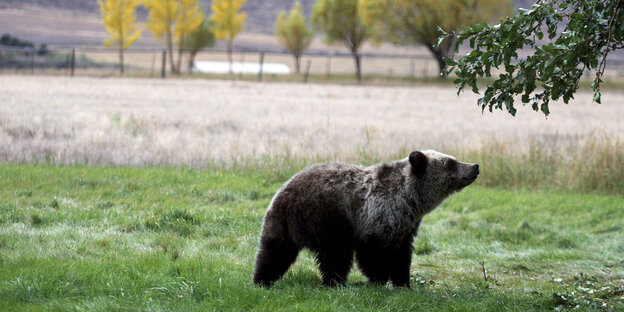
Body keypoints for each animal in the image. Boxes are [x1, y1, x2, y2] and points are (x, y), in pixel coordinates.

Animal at [251, 151, 480, 288]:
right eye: (451, 162)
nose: (475, 166)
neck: (410, 200)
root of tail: (284, 192)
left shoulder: (406, 227)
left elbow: (402, 255)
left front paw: (403, 283)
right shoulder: (376, 216)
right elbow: (373, 253)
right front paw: (378, 279)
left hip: (281, 224)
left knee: (274, 252)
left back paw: (262, 279)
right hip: (327, 216)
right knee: (336, 254)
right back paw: (335, 282)